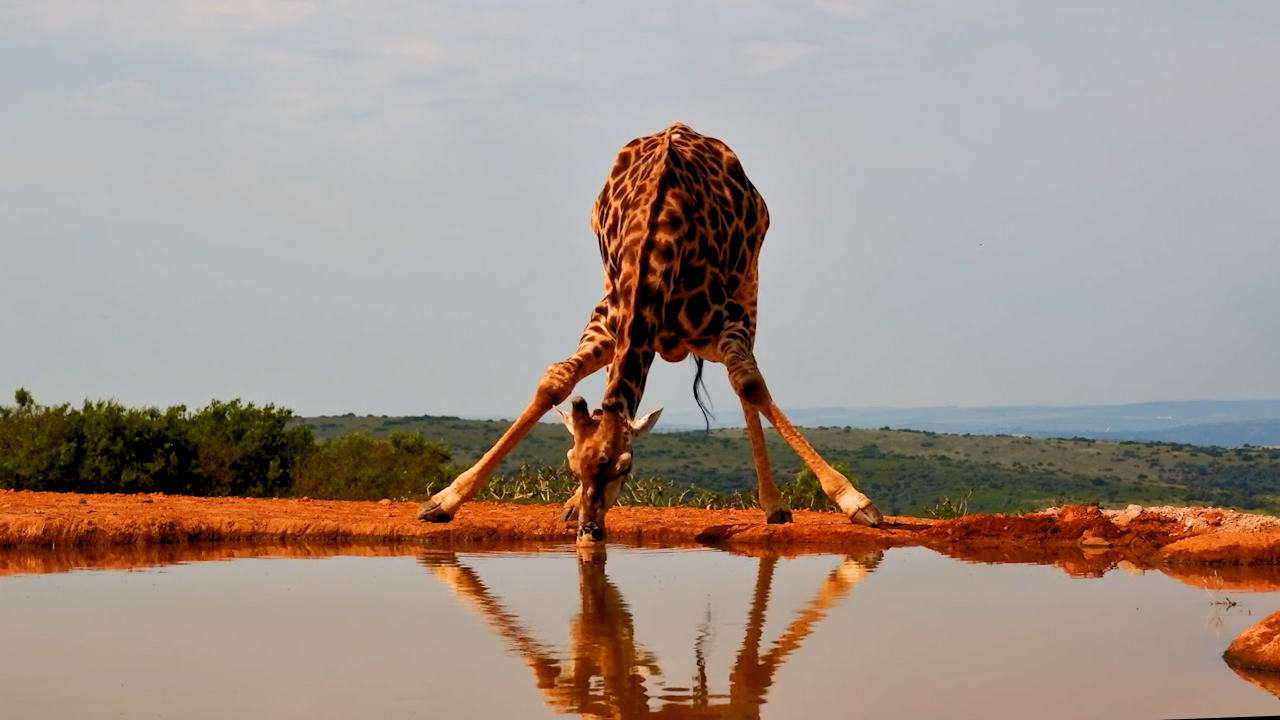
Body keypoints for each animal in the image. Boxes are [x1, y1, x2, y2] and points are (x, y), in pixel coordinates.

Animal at [417, 123, 883, 542]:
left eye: (625, 468)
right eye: (571, 463)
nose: (590, 531)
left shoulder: (726, 319)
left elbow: (749, 384)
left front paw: (857, 503)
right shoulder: (607, 321)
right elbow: (555, 382)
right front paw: (443, 501)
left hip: (749, 280)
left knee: (747, 380)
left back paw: (774, 506)